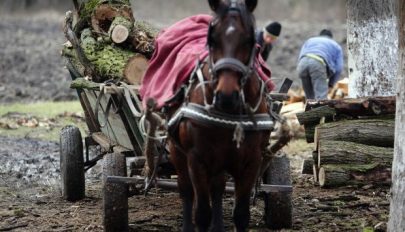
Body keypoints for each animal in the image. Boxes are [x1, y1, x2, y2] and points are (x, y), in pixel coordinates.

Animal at [166, 0, 274, 231]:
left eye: (250, 40)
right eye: (212, 39)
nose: (226, 95)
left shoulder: (251, 162)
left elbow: (241, 214)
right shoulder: (196, 160)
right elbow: (201, 213)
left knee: (217, 188)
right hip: (176, 150)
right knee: (186, 190)